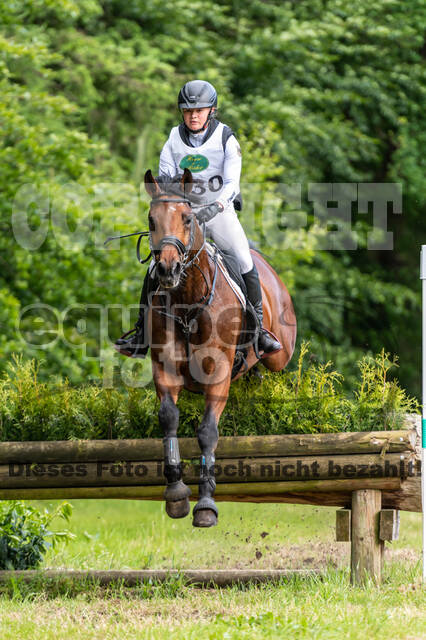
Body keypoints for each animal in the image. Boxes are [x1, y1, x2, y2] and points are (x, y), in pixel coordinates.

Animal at [144, 168, 296, 527]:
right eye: (152, 220)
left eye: (187, 219)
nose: (168, 269)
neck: (187, 301)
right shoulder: (165, 369)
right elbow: (168, 418)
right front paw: (176, 494)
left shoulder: (219, 373)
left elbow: (207, 433)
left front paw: (206, 503)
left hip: (281, 354)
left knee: (275, 363)